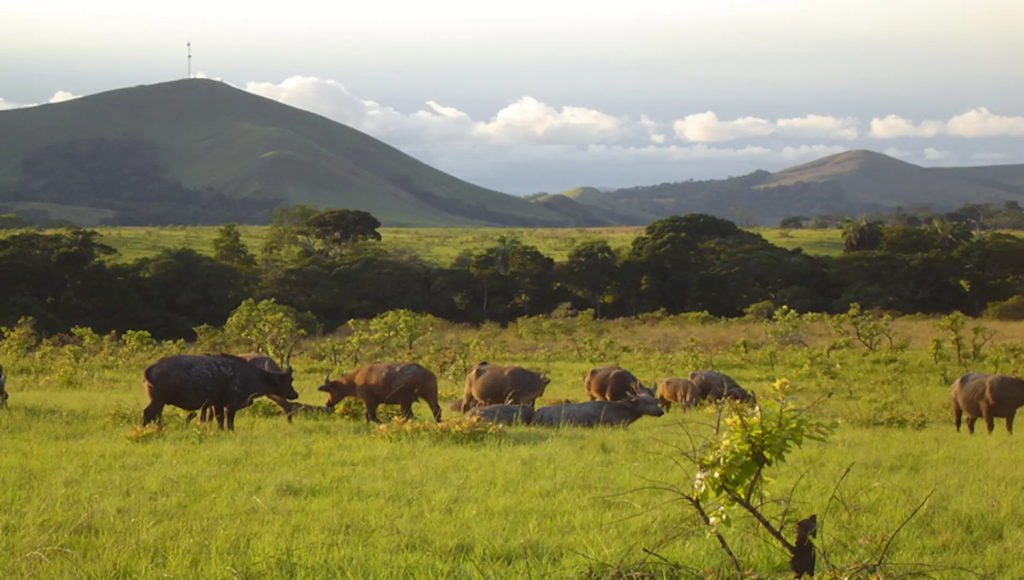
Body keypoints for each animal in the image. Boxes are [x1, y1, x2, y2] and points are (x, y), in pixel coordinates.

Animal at [142, 354, 299, 432]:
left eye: (291, 379)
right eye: (287, 380)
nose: (295, 394)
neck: (249, 375)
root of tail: (150, 369)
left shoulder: (216, 404)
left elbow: (219, 419)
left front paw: (220, 431)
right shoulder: (232, 404)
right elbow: (229, 420)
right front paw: (230, 431)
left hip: (160, 402)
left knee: (156, 416)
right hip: (157, 400)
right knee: (148, 413)